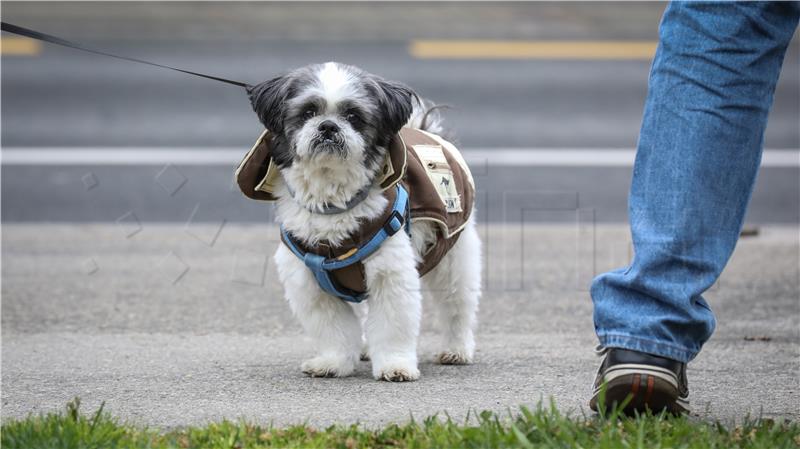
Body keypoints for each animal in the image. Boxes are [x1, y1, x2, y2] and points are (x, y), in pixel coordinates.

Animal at [234, 61, 478, 380]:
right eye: (308, 112)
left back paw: (457, 349)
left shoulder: (390, 272)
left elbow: (392, 325)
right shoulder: (309, 281)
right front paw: (332, 362)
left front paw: (396, 365)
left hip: (454, 258)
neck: (332, 201)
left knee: (456, 304)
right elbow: (332, 328)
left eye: (352, 116)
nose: (328, 126)